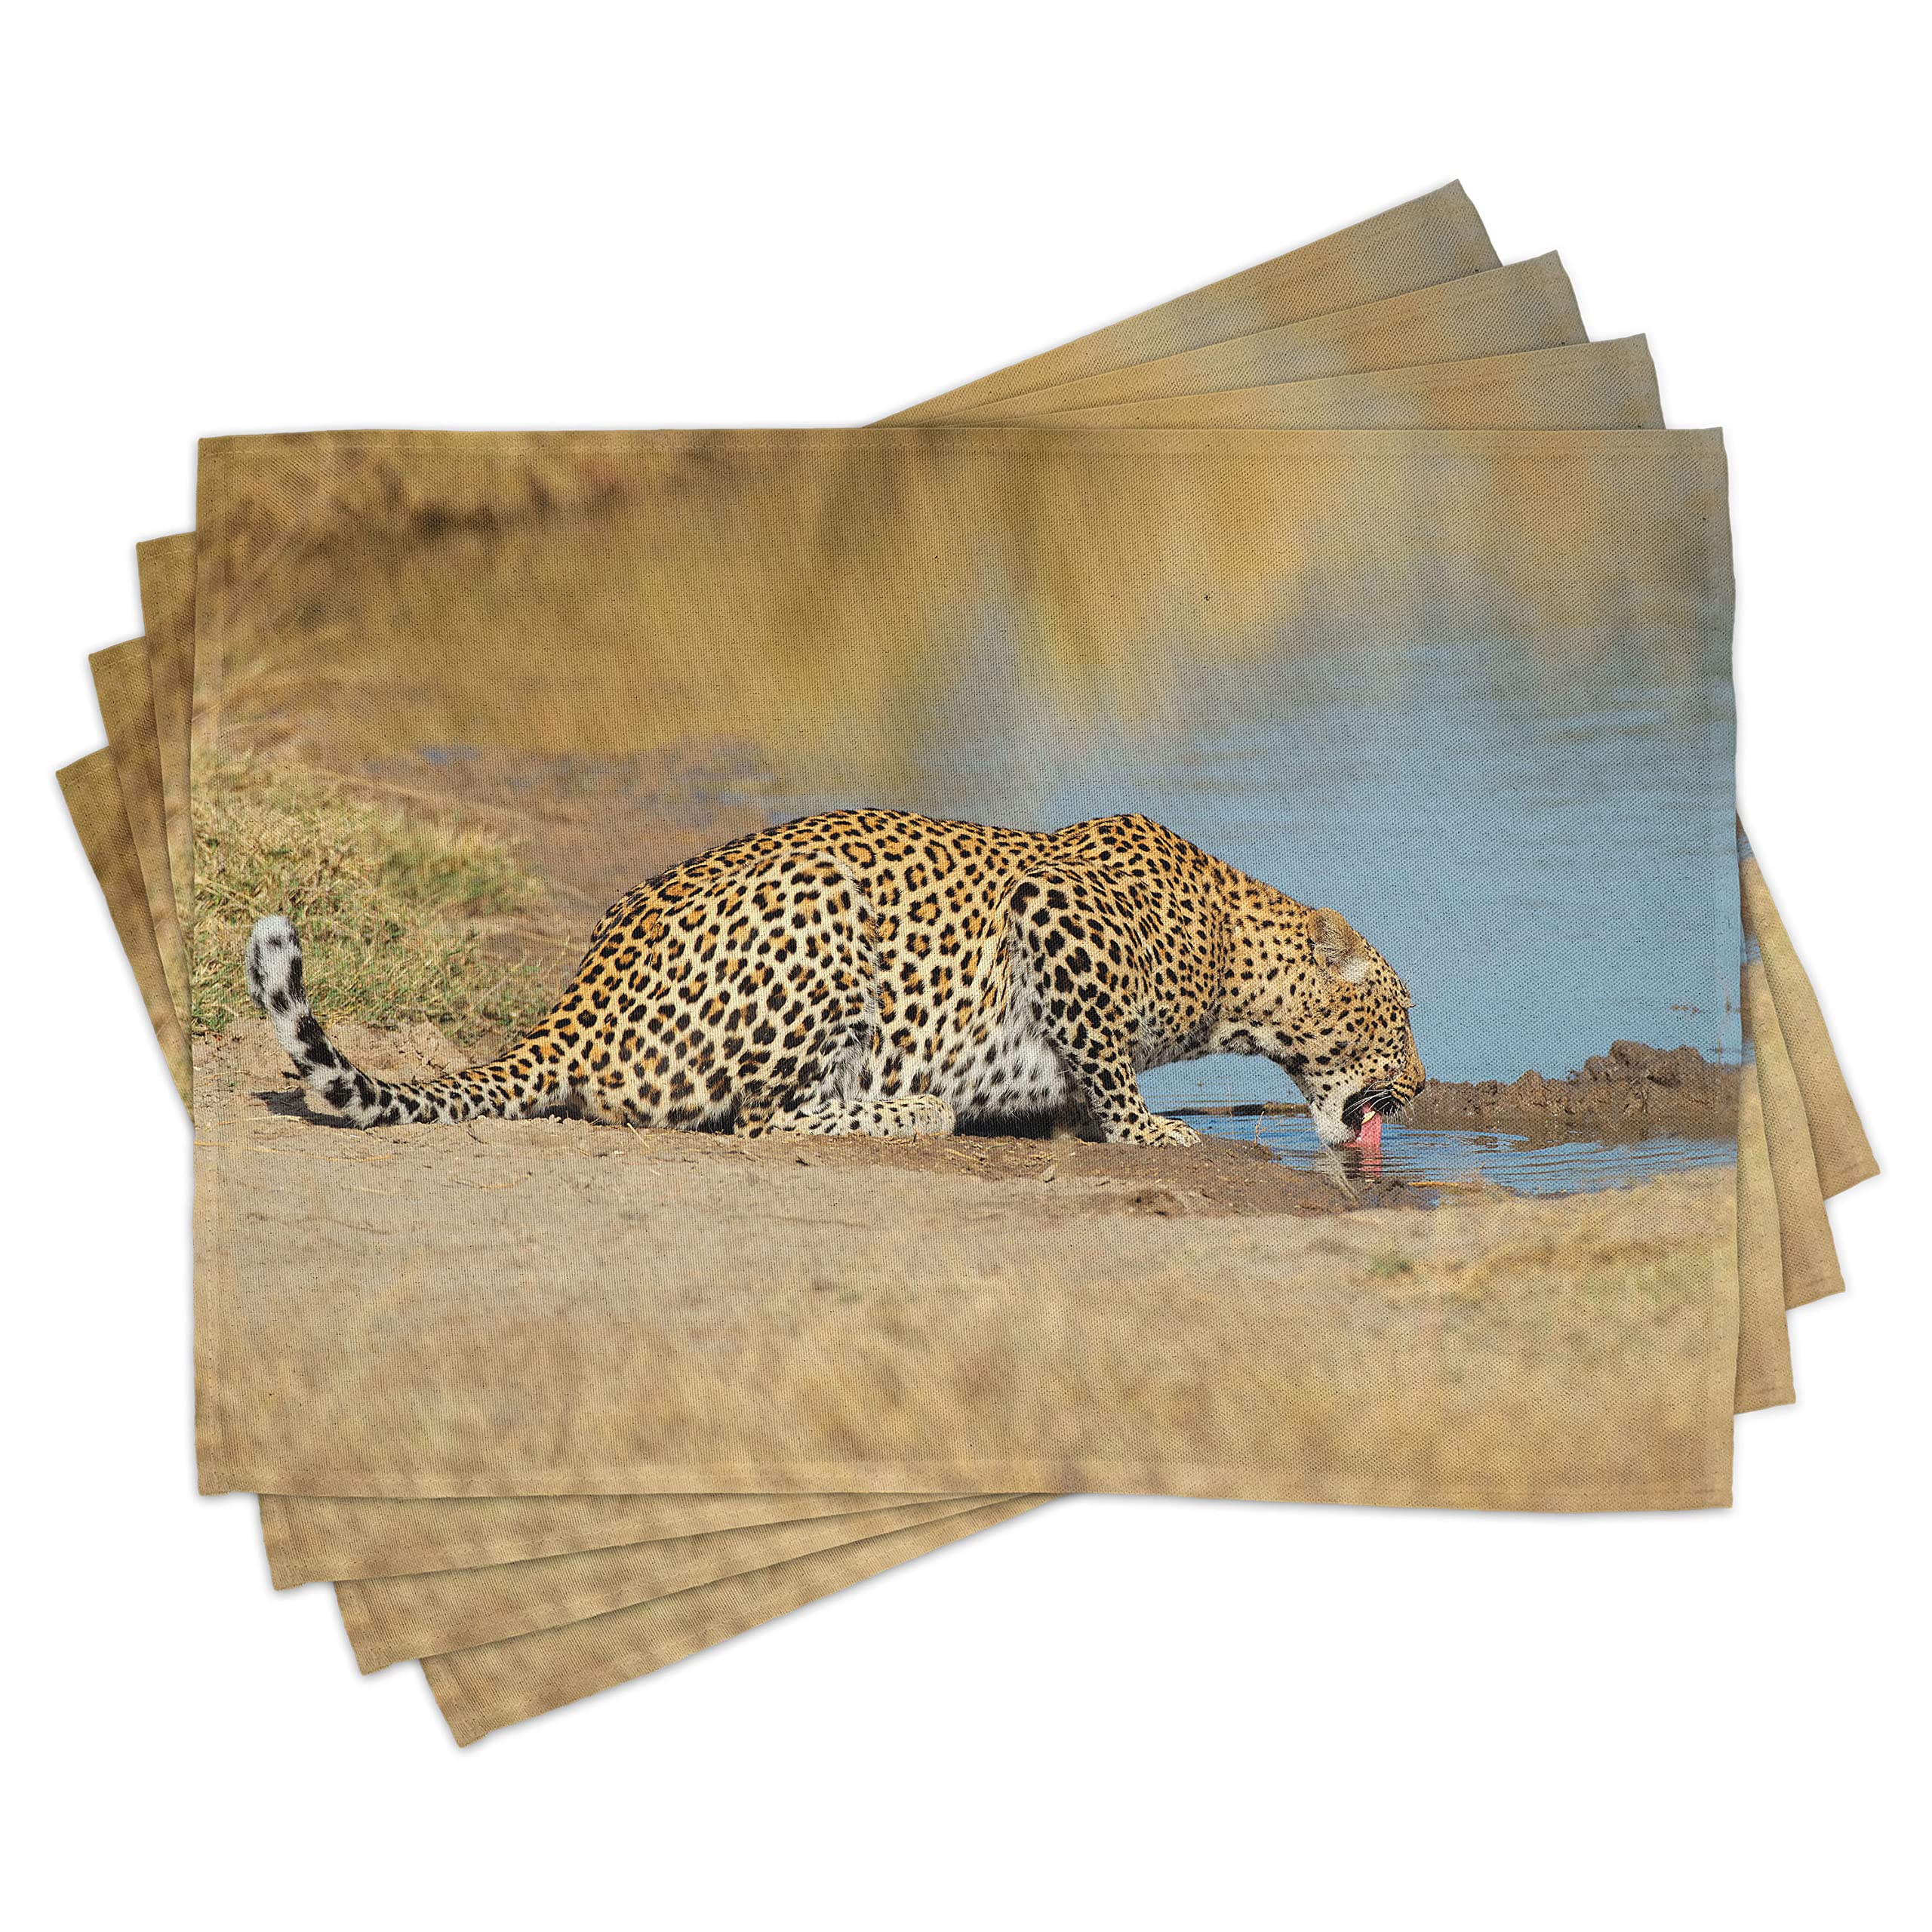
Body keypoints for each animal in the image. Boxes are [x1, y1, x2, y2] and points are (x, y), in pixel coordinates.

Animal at [247, 808, 1424, 1149]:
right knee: (762, 1117)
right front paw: (1152, 1133)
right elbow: (1106, 1060)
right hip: (826, 920)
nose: (1417, 1088)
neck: (1232, 958)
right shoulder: (1053, 910)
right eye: (1403, 1017)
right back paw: (915, 1111)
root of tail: (573, 1005)